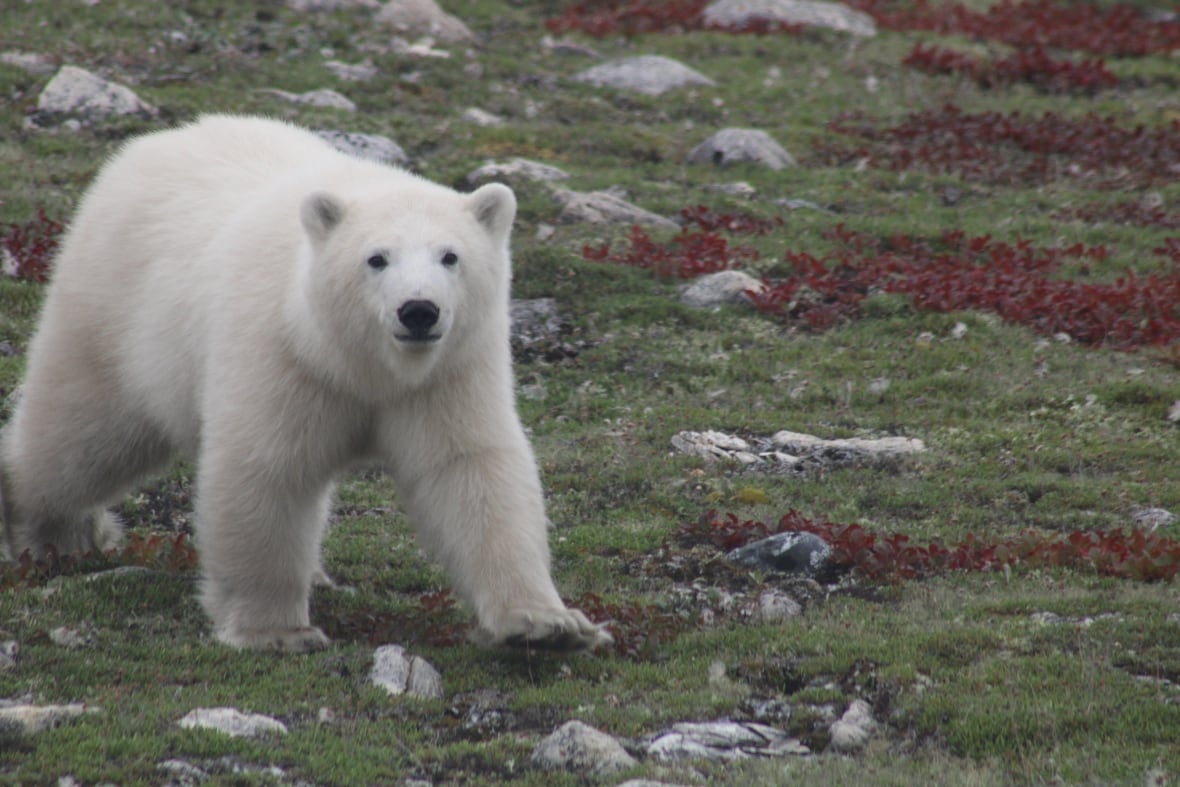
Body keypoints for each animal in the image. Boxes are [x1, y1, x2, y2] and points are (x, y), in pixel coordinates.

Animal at [0, 115, 610, 653]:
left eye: (450, 255)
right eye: (376, 258)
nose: (418, 311)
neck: (358, 363)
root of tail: (149, 145)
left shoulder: (450, 372)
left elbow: (470, 469)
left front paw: (546, 623)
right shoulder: (284, 355)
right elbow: (268, 469)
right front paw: (277, 631)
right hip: (115, 313)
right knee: (81, 435)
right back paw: (61, 531)